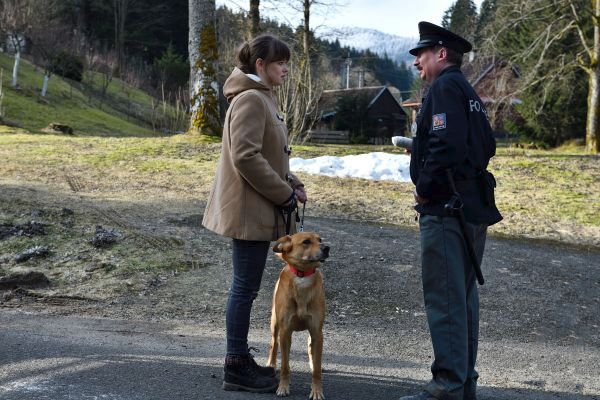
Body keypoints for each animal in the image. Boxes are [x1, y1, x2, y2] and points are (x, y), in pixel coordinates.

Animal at [268, 233, 330, 398]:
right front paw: (283, 387)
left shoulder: (316, 331)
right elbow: (285, 365)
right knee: (274, 344)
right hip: (275, 323)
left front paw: (317, 391)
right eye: (306, 242)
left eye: (320, 240)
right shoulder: (285, 332)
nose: (327, 247)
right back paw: (271, 364)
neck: (302, 276)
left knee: (311, 348)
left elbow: (316, 369)